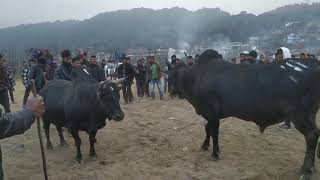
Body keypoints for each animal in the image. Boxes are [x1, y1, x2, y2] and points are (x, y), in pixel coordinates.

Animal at [172, 50, 320, 179]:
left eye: (173, 75)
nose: (173, 92)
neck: (197, 76)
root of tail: (315, 64)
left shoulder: (212, 112)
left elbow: (213, 131)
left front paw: (215, 153)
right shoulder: (212, 114)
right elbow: (207, 128)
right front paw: (205, 145)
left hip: (301, 116)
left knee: (312, 136)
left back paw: (306, 170)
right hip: (310, 115)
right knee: (316, 134)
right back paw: (312, 167)